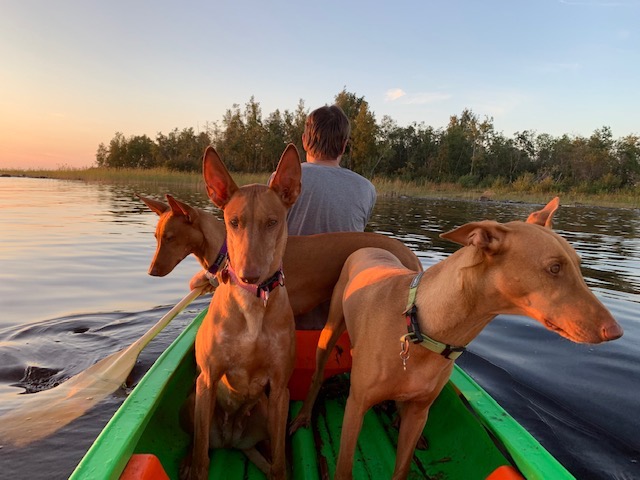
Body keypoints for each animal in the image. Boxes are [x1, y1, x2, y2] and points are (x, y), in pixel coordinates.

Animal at [180, 145, 300, 480]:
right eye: (233, 222)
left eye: (272, 222)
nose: (249, 275)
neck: (253, 306)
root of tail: (232, 440)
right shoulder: (207, 380)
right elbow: (202, 461)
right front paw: (194, 466)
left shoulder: (280, 389)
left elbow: (279, 464)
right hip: (194, 400)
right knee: (197, 443)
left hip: (264, 410)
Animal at [292, 197, 624, 478]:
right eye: (554, 268)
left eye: (578, 265)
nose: (615, 332)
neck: (425, 327)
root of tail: (368, 247)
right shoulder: (355, 407)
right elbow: (344, 468)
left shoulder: (420, 412)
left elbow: (402, 466)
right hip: (330, 331)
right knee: (318, 375)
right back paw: (304, 416)